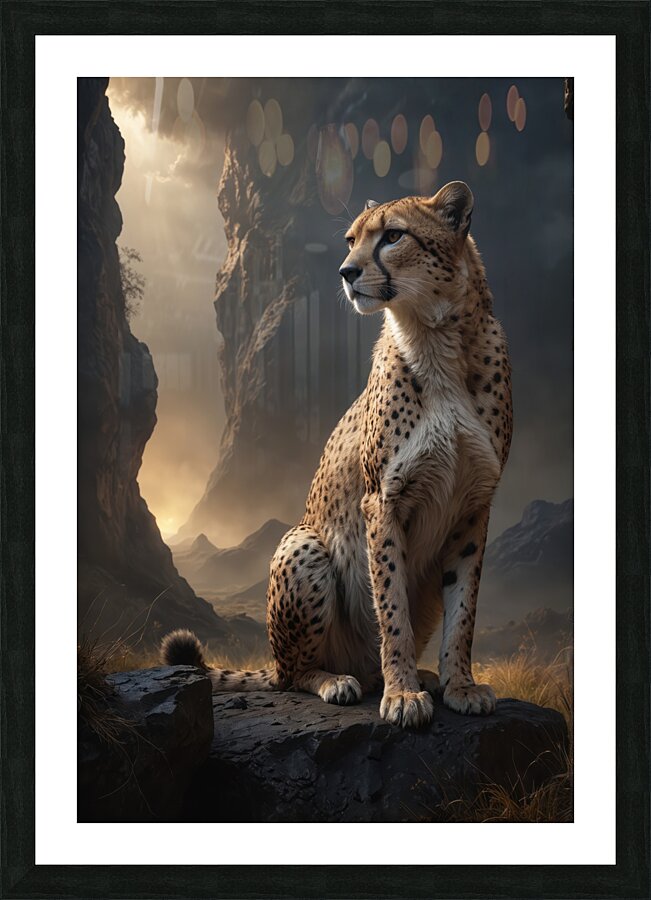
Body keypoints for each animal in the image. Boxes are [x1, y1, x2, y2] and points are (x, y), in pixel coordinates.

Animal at [162, 181, 513, 729]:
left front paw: (459, 684)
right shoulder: (382, 500)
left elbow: (464, 610)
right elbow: (391, 605)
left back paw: (417, 678)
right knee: (294, 673)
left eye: (393, 236)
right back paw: (339, 681)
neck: (438, 339)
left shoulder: (474, 504)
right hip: (304, 545)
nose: (346, 272)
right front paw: (402, 694)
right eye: (351, 239)